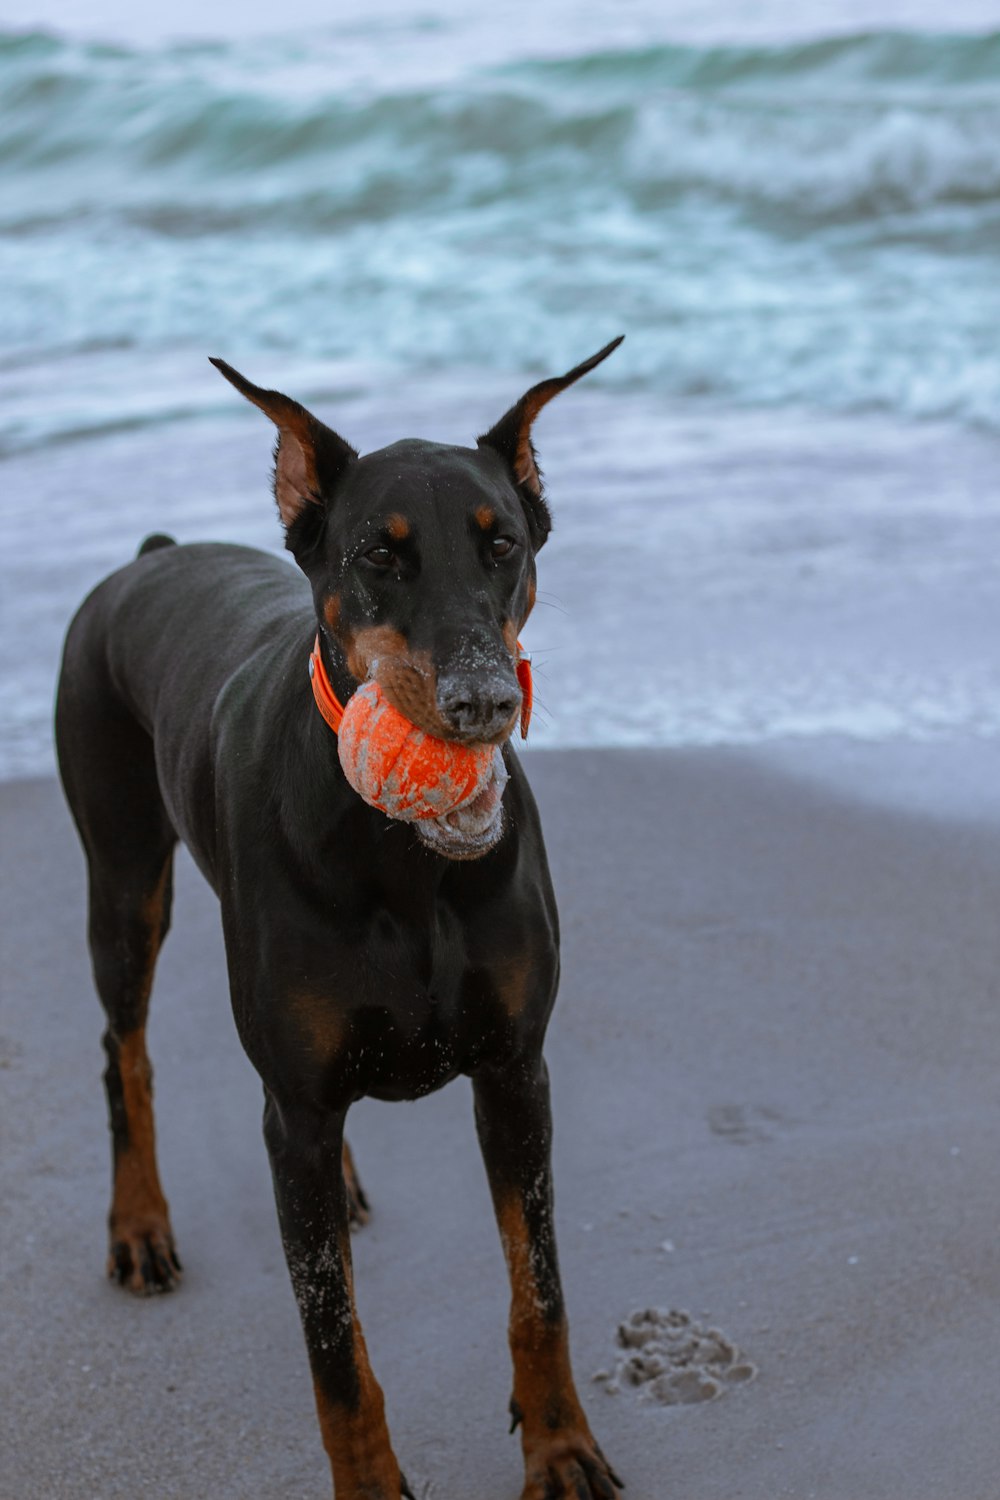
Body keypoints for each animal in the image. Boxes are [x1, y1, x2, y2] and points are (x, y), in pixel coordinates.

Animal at [56, 340, 626, 1500]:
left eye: (503, 545)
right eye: (378, 554)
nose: (481, 702)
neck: (404, 864)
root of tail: (146, 558)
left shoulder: (516, 1072)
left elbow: (538, 1289)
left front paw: (561, 1449)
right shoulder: (305, 1113)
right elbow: (333, 1346)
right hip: (124, 878)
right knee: (123, 1047)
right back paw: (138, 1226)